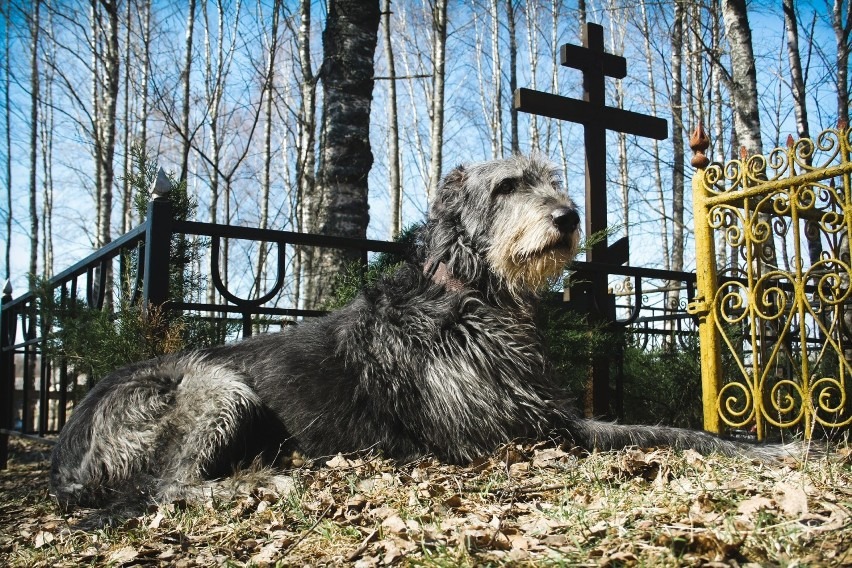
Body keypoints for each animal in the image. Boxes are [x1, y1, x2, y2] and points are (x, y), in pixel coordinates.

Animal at [53, 155, 760, 516]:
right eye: (508, 186)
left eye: (554, 181)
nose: (568, 216)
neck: (469, 295)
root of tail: (68, 451)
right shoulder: (518, 437)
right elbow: (661, 433)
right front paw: (770, 449)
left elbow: (662, 429)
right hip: (216, 386)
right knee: (165, 487)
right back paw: (263, 481)